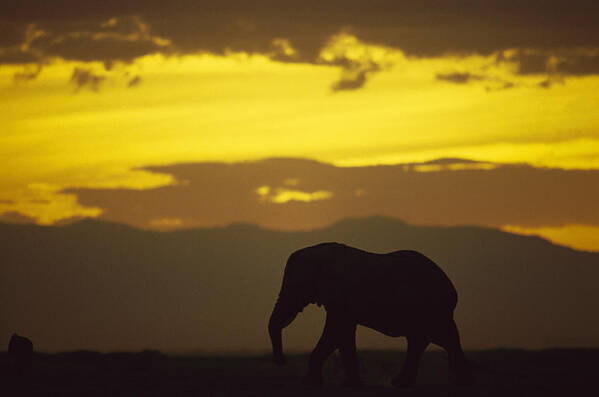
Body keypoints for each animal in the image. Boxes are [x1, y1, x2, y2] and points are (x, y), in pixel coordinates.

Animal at [268, 241, 474, 386]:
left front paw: (315, 384)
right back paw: (404, 383)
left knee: (440, 338)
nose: (282, 361)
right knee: (426, 340)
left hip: (432, 309)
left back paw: (460, 382)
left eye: (299, 284)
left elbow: (335, 332)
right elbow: (342, 334)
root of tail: (452, 288)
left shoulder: (343, 296)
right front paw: (346, 384)